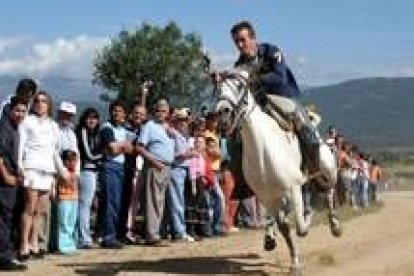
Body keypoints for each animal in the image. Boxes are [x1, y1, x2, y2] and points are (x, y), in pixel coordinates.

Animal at [213, 69, 340, 274]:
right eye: (217, 88)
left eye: (240, 85)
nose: (222, 113)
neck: (264, 149)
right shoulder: (266, 196)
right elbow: (284, 227)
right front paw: (293, 262)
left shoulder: (294, 188)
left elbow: (301, 228)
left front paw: (307, 218)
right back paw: (270, 237)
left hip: (326, 168)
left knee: (327, 191)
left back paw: (335, 225)